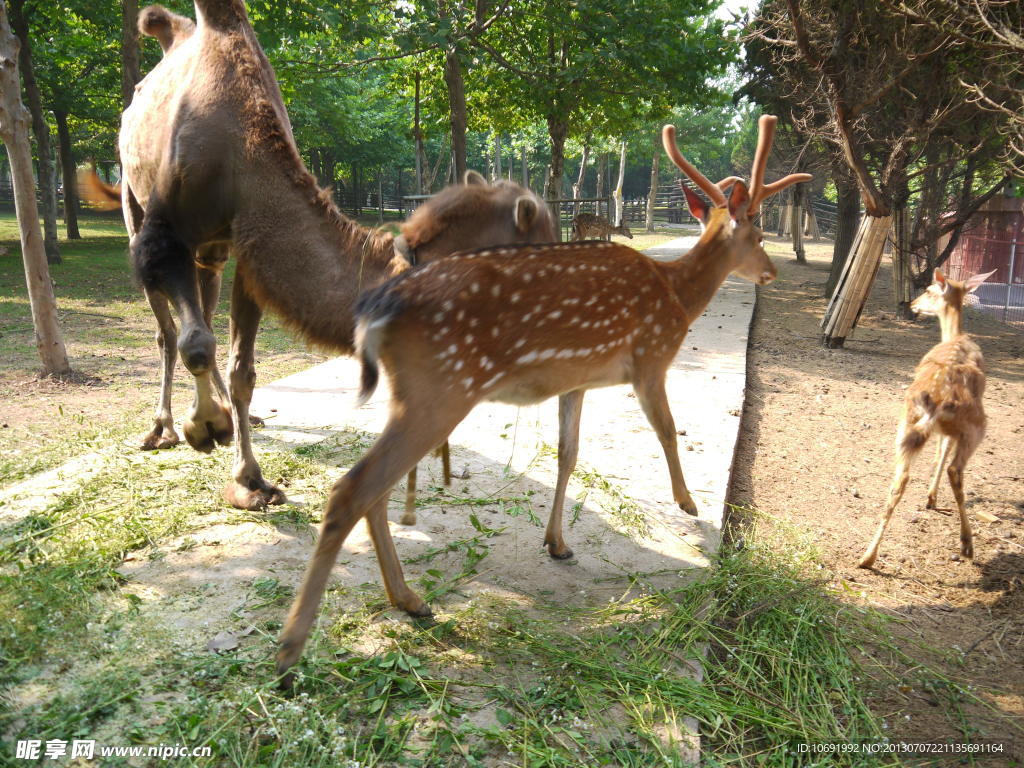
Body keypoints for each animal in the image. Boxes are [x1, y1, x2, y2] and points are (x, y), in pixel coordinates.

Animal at [116, 6, 557, 514]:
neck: (243, 153)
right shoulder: (168, 232)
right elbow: (195, 343)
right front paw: (206, 427)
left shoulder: (252, 251)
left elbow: (242, 367)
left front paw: (248, 478)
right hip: (133, 201)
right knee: (170, 331)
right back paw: (164, 428)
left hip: (213, 252)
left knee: (205, 309)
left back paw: (231, 418)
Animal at [276, 115, 811, 679]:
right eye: (756, 233)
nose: (771, 270)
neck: (678, 297)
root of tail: (378, 306)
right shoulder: (650, 359)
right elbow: (667, 430)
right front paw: (687, 503)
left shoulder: (576, 381)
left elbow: (568, 453)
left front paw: (557, 543)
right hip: (441, 390)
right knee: (352, 487)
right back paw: (291, 646)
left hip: (415, 395)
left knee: (373, 488)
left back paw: (408, 599)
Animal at [860, 268, 995, 569]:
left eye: (930, 291)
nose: (912, 304)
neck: (954, 336)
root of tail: (939, 401)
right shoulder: (953, 432)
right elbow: (941, 454)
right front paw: (931, 498)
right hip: (976, 427)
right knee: (955, 470)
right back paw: (967, 544)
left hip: (905, 423)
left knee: (899, 480)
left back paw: (867, 557)